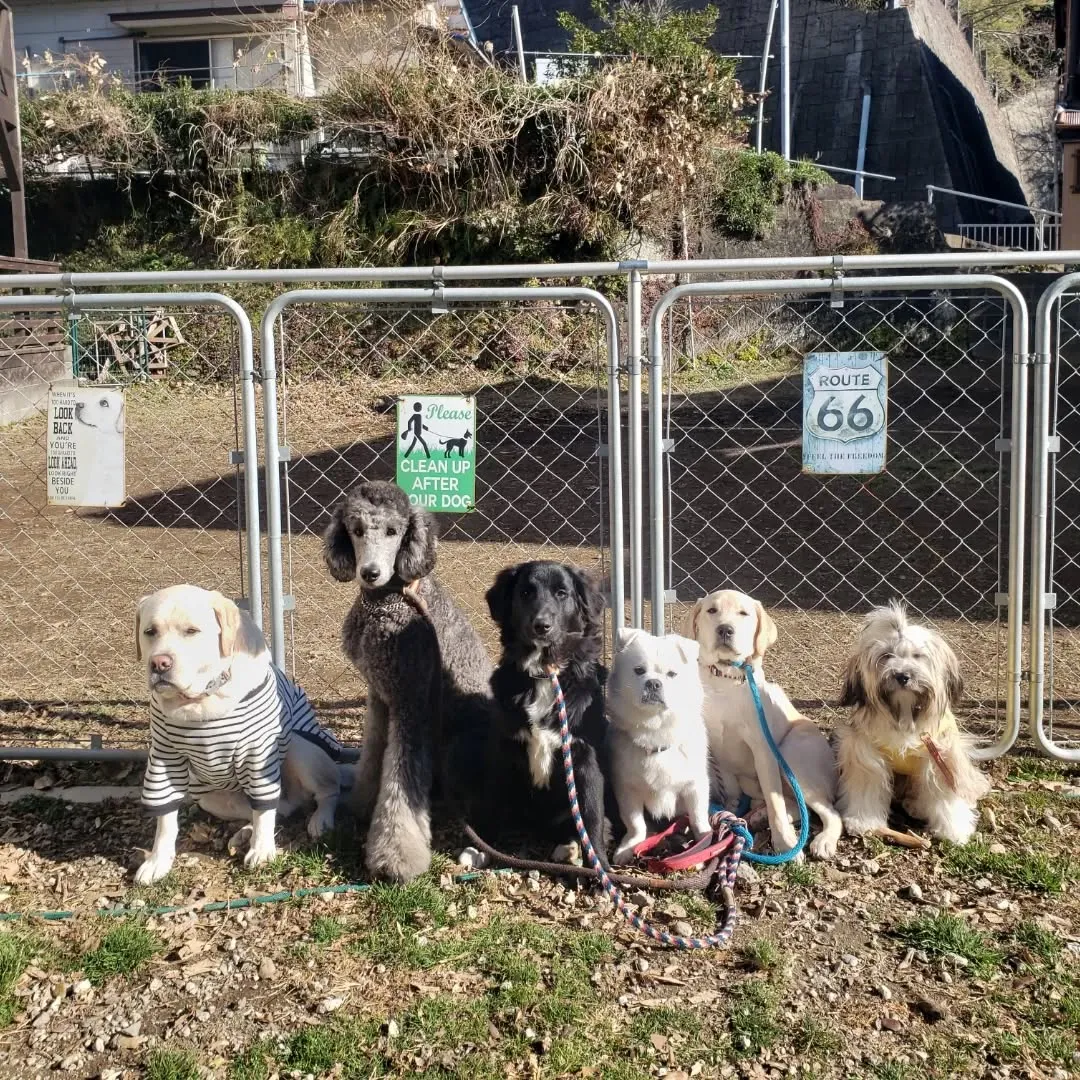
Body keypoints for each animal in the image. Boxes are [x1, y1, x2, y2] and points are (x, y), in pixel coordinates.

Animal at [133, 587, 345, 881]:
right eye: (150, 631)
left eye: (191, 631)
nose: (159, 663)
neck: (200, 702)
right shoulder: (165, 758)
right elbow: (165, 820)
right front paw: (157, 862)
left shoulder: (258, 752)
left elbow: (264, 808)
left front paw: (263, 851)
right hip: (209, 797)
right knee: (276, 809)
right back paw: (246, 834)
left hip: (299, 747)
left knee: (324, 792)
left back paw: (319, 820)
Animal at [483, 561, 617, 864]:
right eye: (525, 592)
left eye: (561, 593)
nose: (541, 626)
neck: (546, 673)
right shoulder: (504, 749)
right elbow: (493, 805)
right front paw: (483, 848)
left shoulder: (585, 758)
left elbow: (592, 817)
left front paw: (599, 864)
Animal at [609, 630, 717, 864]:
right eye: (639, 671)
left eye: (672, 674)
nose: (653, 683)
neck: (656, 735)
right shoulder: (627, 790)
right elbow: (635, 824)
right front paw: (629, 846)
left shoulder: (695, 787)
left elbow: (698, 818)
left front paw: (700, 849)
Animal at [682, 591, 842, 859]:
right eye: (712, 611)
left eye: (743, 613)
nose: (725, 629)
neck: (724, 679)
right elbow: (729, 790)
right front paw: (726, 818)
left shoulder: (763, 750)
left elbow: (774, 800)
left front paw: (785, 844)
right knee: (792, 803)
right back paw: (757, 815)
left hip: (792, 754)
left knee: (827, 811)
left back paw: (823, 840)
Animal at [833, 609, 989, 842]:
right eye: (886, 655)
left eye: (917, 656)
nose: (902, 676)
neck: (904, 711)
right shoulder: (866, 753)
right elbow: (867, 787)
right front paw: (864, 822)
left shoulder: (940, 755)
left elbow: (944, 794)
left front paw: (955, 829)